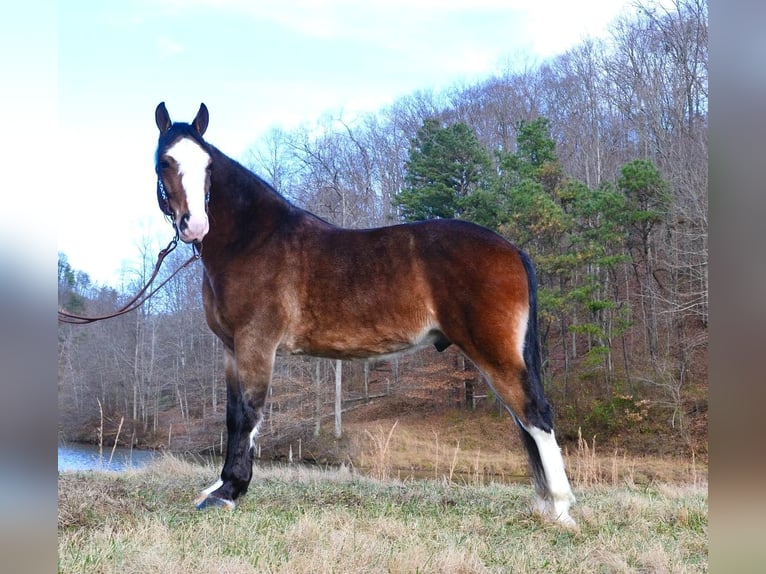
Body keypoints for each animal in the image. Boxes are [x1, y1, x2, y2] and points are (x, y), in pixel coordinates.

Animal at [154, 102, 576, 528]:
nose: (195, 225)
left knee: (535, 414)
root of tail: (511, 249)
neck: (255, 240)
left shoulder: (255, 343)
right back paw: (545, 503)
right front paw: (219, 486)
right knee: (523, 418)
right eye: (164, 162)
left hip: (495, 352)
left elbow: (247, 414)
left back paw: (559, 506)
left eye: (208, 165)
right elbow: (230, 415)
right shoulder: (230, 349)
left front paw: (228, 492)